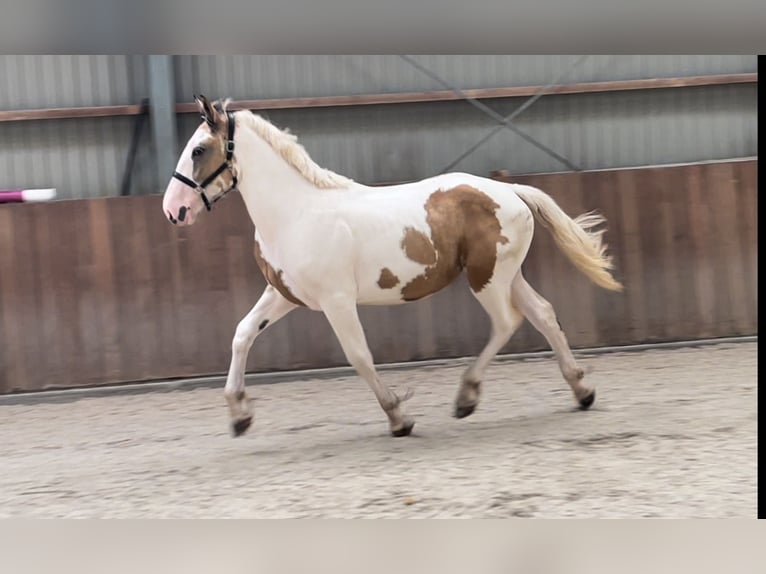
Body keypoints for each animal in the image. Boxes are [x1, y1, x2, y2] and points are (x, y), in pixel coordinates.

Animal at [162, 97, 624, 440]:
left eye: (198, 150)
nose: (173, 211)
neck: (297, 213)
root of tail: (509, 190)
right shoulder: (284, 295)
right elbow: (242, 334)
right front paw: (239, 417)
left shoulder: (337, 301)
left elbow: (359, 355)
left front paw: (399, 418)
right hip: (506, 275)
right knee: (543, 314)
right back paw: (582, 392)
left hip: (486, 279)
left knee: (506, 323)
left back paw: (467, 398)